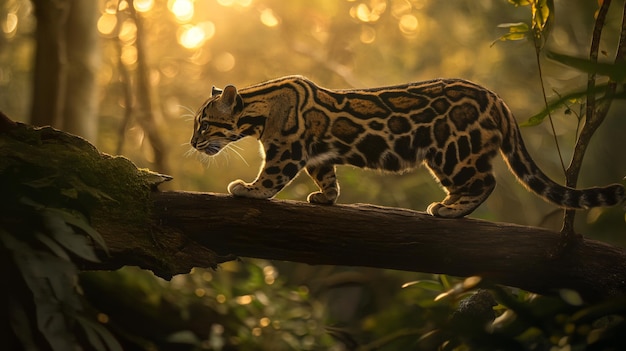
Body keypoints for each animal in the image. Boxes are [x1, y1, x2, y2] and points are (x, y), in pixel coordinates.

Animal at [188, 77, 620, 219]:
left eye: (204, 124)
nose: (192, 142)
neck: (259, 109)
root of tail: (499, 101)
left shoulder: (287, 151)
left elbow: (270, 178)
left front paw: (247, 189)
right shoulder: (316, 155)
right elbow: (328, 177)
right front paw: (326, 197)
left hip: (452, 151)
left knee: (486, 182)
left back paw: (450, 209)